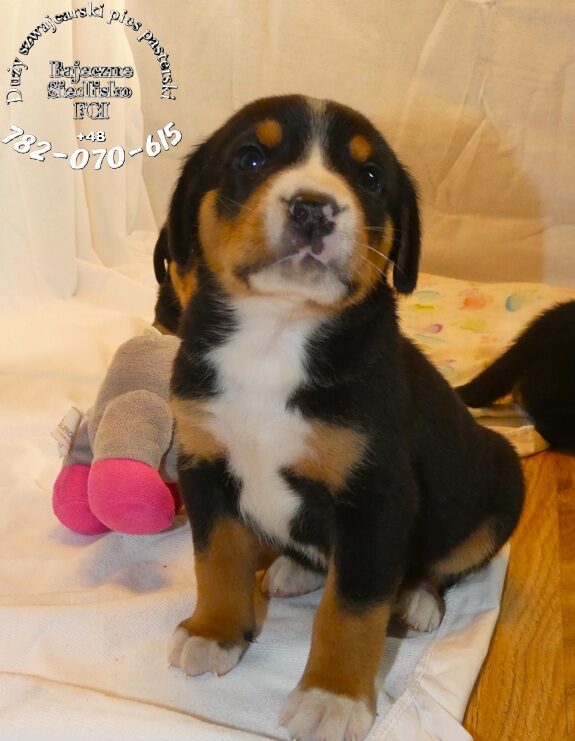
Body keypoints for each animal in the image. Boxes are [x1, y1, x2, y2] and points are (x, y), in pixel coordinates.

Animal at [155, 95, 524, 741]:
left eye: (369, 176)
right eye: (250, 158)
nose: (313, 207)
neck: (274, 339)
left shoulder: (375, 496)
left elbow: (349, 610)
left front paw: (332, 698)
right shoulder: (204, 464)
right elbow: (216, 559)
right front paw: (212, 633)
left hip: (501, 481)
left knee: (445, 563)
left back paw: (416, 599)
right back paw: (293, 569)